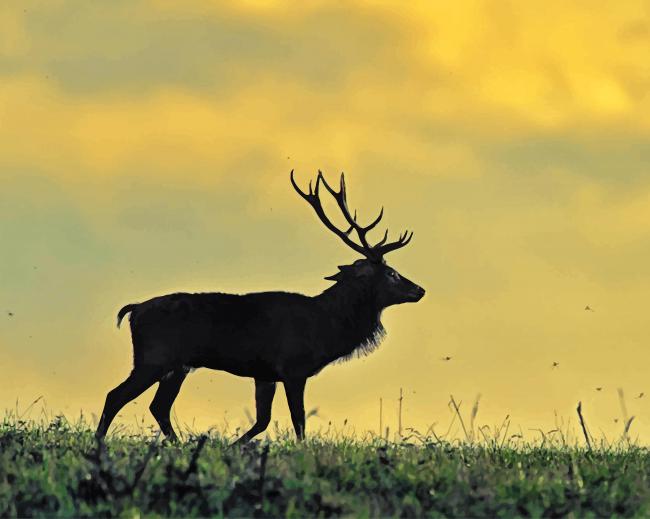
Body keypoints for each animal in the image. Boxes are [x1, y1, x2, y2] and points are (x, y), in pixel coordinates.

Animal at [95, 171, 425, 444]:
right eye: (392, 273)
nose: (420, 289)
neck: (326, 329)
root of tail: (134, 310)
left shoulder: (265, 374)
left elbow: (262, 421)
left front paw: (233, 446)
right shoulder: (293, 368)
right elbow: (298, 420)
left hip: (178, 366)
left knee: (158, 406)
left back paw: (177, 445)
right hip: (154, 357)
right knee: (116, 396)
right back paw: (99, 443)